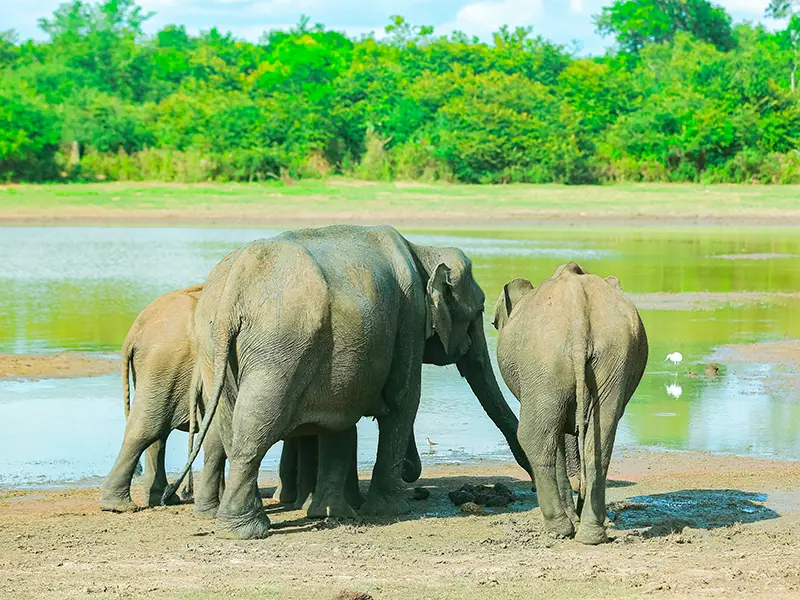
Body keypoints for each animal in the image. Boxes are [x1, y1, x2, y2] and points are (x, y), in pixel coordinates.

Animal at [99, 284, 229, 514]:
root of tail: (134, 330)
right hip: (164, 363)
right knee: (148, 428)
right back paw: (120, 506)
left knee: (158, 431)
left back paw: (163, 498)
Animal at [164, 224, 532, 539]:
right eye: (479, 312)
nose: (527, 478)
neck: (422, 250)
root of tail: (233, 288)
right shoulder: (411, 317)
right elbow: (403, 400)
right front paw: (391, 510)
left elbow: (344, 417)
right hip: (279, 346)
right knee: (255, 425)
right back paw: (246, 530)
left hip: (214, 348)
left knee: (231, 424)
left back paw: (242, 525)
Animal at [492, 263, 648, 545]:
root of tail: (578, 310)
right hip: (613, 356)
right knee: (600, 440)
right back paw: (591, 534)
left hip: (542, 359)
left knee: (537, 437)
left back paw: (559, 528)